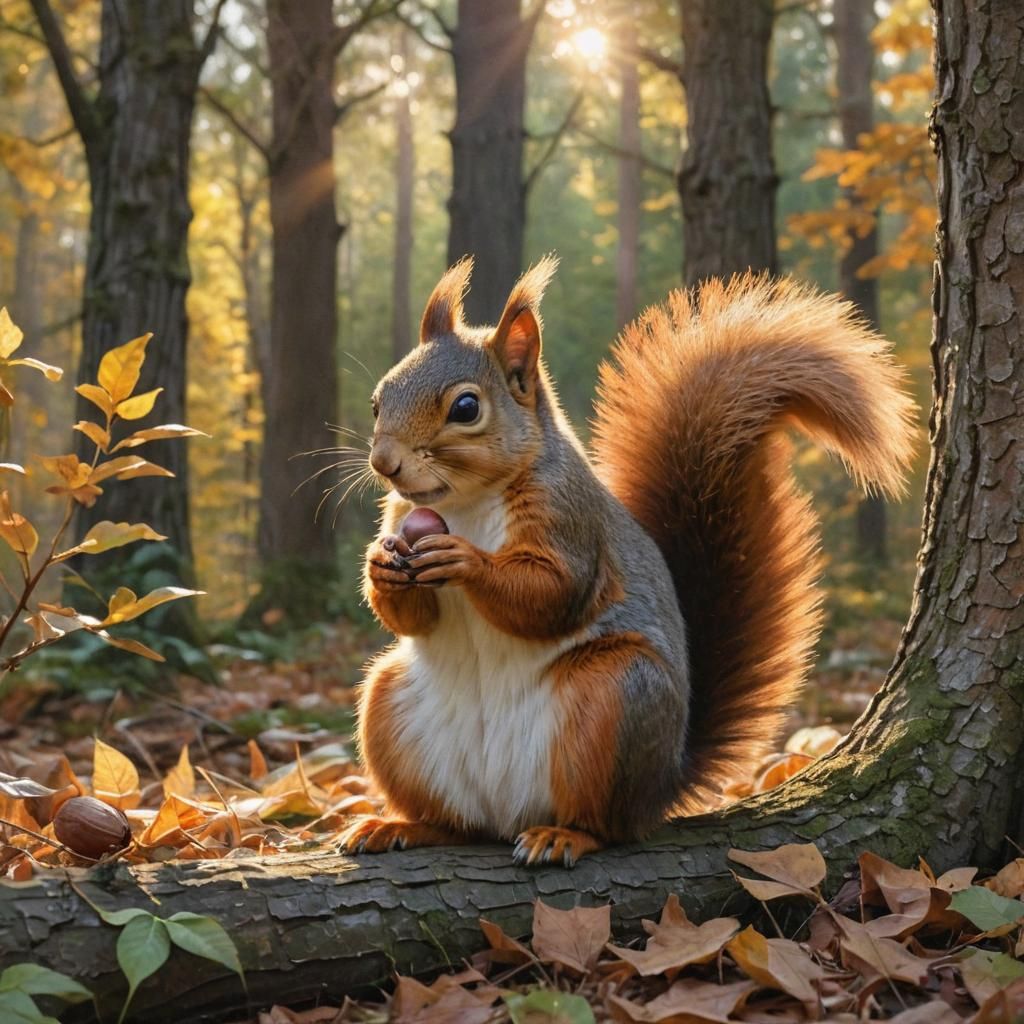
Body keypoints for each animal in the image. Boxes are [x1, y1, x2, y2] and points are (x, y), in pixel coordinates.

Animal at [339, 256, 917, 866]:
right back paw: (401, 826)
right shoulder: (401, 513)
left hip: (614, 700)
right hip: (391, 706)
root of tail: (663, 784)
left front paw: (464, 559)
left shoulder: (570, 521)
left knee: (608, 825)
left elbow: (552, 593)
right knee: (458, 825)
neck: (464, 502)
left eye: (466, 407)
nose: (384, 462)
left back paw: (564, 835)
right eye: (379, 399)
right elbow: (412, 618)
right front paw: (379, 567)